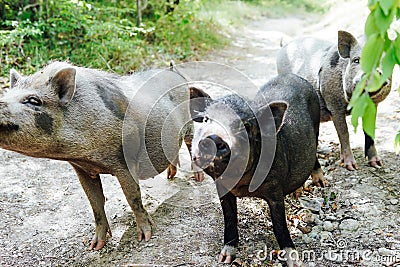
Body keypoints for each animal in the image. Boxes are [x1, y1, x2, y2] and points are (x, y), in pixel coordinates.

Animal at [0, 60, 194, 251]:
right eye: (7, 94)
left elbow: (133, 198)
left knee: (191, 145)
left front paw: (145, 238)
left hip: (190, 122)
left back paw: (196, 178)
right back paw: (170, 177)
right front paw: (95, 246)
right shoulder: (82, 169)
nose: (1, 103)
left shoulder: (124, 161)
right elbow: (95, 203)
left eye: (33, 100)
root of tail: (173, 71)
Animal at [189, 73, 320, 267]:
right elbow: (229, 218)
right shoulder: (222, 189)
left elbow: (279, 225)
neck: (241, 185)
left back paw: (320, 182)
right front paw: (225, 258)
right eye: (206, 120)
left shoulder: (275, 188)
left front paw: (295, 262)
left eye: (245, 126)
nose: (213, 138)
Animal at [276, 30, 390, 171]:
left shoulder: (373, 106)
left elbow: (370, 132)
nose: (372, 72)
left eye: (381, 60)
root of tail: (285, 45)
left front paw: (378, 164)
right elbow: (344, 133)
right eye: (356, 60)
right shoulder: (334, 105)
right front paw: (352, 167)